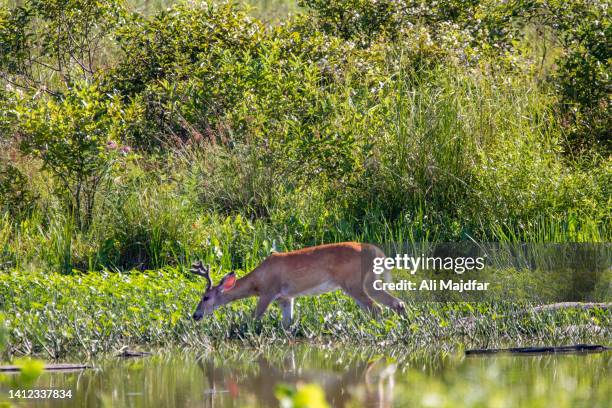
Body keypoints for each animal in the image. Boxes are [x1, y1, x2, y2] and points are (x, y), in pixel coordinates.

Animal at [189, 242, 404, 328]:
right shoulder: (286, 298)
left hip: (353, 283)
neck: (258, 281)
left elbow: (253, 318)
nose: (195, 315)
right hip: (369, 281)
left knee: (376, 308)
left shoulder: (268, 292)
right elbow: (287, 323)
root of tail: (375, 251)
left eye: (205, 297)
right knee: (396, 302)